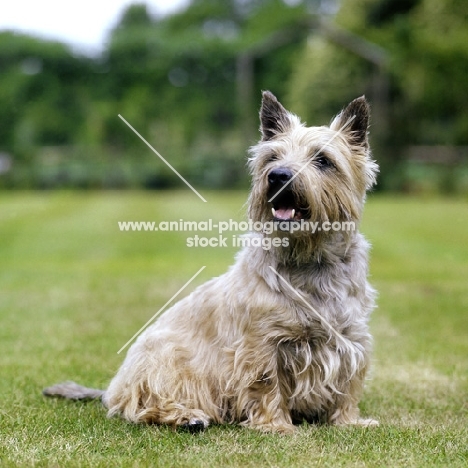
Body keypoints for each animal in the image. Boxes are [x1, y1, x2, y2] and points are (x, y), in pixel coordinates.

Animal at [43, 89, 380, 434]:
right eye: (272, 158)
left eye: (323, 160)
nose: (277, 176)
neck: (311, 258)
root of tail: (110, 388)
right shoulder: (261, 344)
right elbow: (267, 382)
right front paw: (277, 426)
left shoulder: (351, 338)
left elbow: (348, 383)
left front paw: (350, 421)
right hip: (164, 359)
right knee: (144, 403)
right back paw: (187, 416)